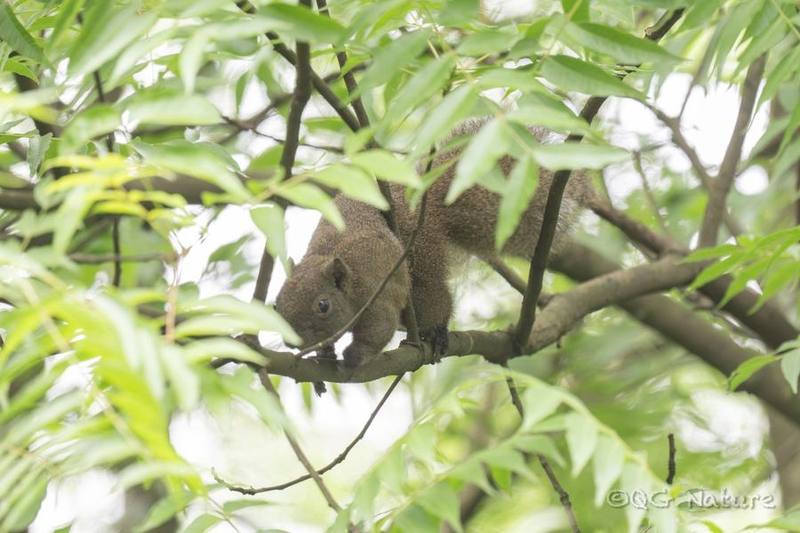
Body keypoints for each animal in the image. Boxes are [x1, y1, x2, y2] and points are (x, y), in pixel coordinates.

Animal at [275, 120, 590, 368]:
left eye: (323, 305)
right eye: (276, 304)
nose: (292, 343)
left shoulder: (378, 289)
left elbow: (379, 330)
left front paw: (353, 357)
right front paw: (324, 356)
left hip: (421, 256)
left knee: (433, 299)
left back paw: (436, 333)